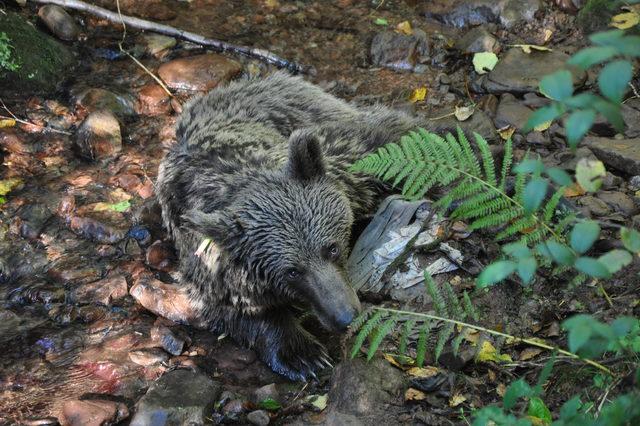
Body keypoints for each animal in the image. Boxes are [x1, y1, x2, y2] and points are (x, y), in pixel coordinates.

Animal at [157, 71, 420, 382]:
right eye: (292, 271)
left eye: (331, 248)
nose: (345, 316)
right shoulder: (208, 258)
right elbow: (234, 309)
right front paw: (302, 355)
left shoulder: (347, 168)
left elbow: (384, 148)